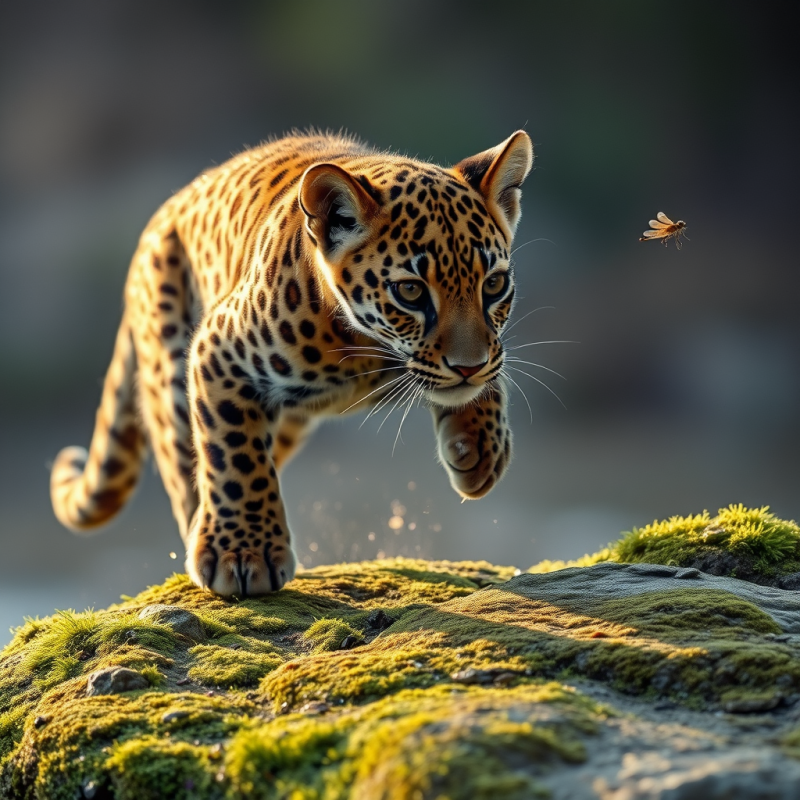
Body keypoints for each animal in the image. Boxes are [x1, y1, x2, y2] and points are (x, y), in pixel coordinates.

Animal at [50, 130, 534, 597]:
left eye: (493, 285)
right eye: (410, 291)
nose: (468, 366)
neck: (363, 348)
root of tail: (163, 213)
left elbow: (493, 365)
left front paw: (480, 446)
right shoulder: (218, 351)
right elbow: (234, 458)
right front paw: (242, 555)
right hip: (167, 378)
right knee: (192, 465)